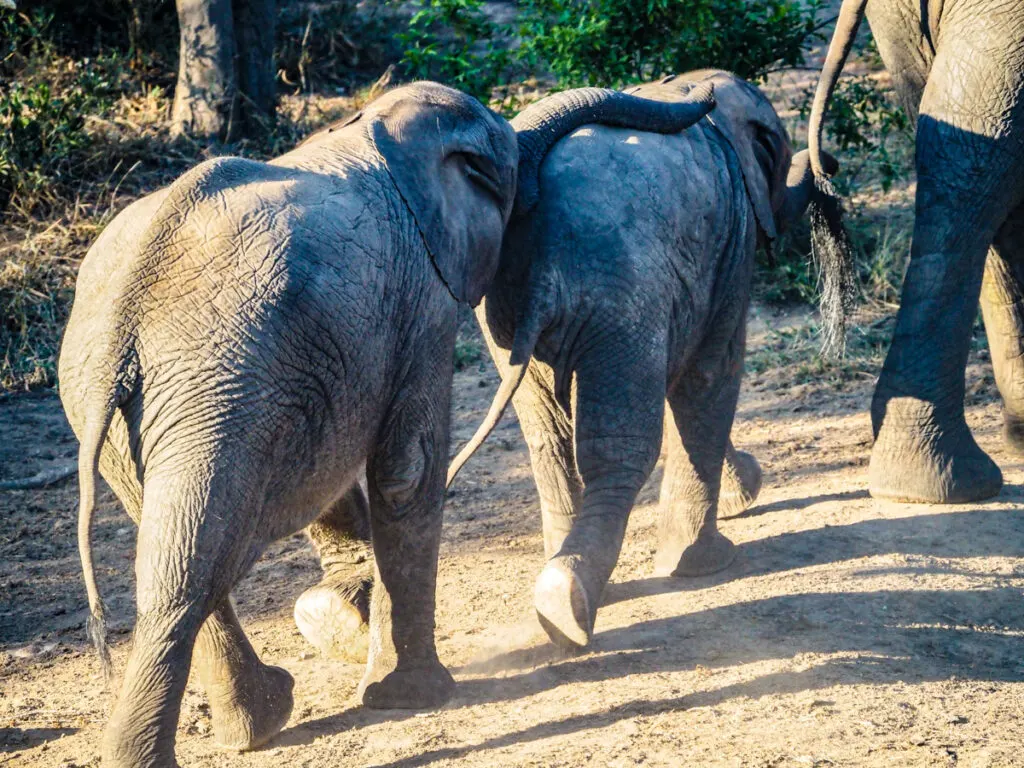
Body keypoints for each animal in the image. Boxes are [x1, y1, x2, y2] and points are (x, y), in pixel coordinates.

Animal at [450, 70, 847, 651]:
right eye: (776, 151)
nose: (829, 166)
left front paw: (743, 491)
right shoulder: (732, 240)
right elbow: (710, 372)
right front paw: (706, 560)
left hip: (507, 317)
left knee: (549, 442)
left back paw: (567, 593)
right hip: (620, 297)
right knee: (617, 447)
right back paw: (567, 604)